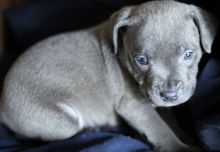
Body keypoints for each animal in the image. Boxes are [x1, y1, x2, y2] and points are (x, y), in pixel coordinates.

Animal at [0, 0, 217, 151]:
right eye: (141, 60)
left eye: (188, 54)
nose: (170, 95)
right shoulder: (133, 104)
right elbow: (159, 128)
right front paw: (181, 148)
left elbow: (168, 119)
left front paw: (183, 134)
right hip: (59, 120)